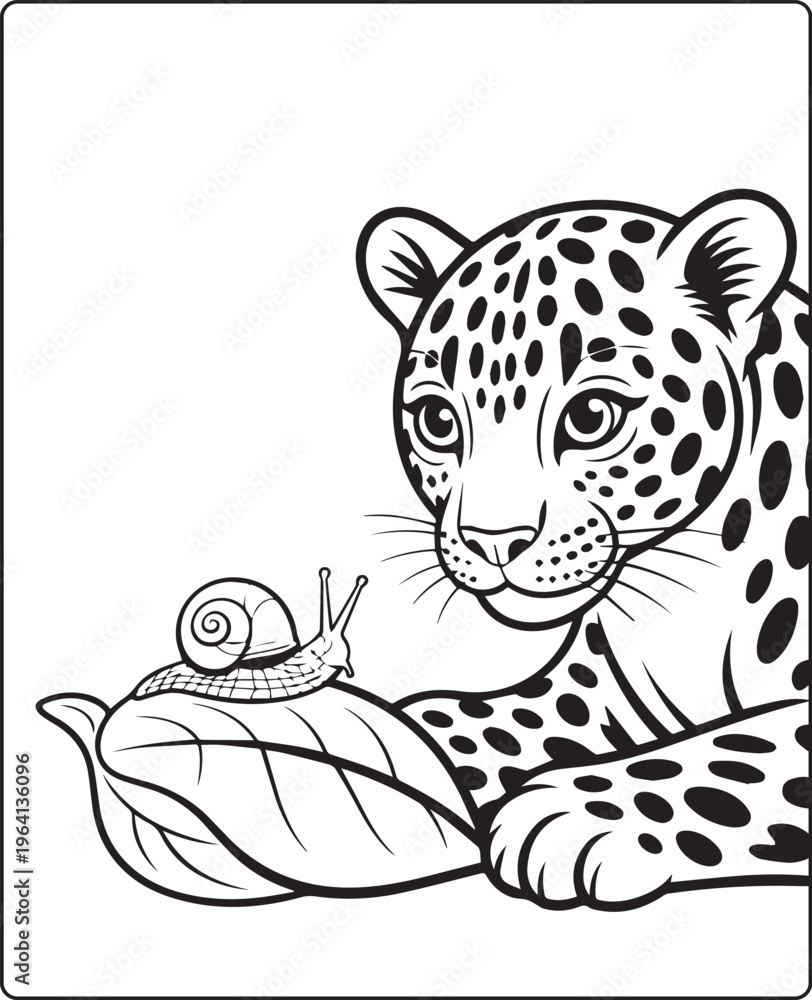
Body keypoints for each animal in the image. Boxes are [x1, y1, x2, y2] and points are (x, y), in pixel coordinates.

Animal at [356, 190, 809, 909]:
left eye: (592, 416)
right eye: (438, 421)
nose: (494, 541)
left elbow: (739, 750)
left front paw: (573, 814)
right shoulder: (593, 689)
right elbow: (465, 718)